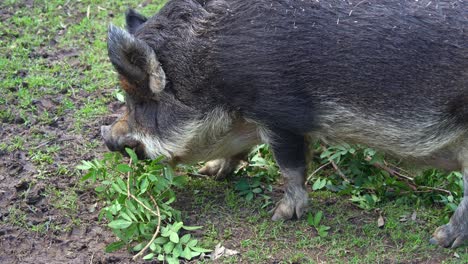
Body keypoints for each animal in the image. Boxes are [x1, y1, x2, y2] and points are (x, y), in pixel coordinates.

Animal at [101, 0, 468, 248]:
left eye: (141, 100)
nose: (107, 137)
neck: (208, 70)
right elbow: (240, 150)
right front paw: (210, 172)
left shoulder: (281, 113)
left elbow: (290, 165)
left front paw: (280, 216)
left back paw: (439, 240)